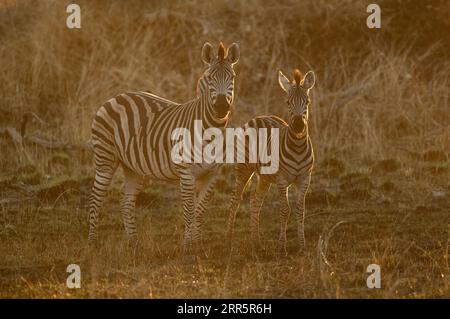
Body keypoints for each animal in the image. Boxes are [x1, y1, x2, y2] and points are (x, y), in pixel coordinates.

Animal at [89, 43, 241, 252]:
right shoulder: (186, 173)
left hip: (133, 167)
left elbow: (200, 210)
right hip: (105, 159)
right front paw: (188, 247)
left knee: (126, 202)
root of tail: (115, 97)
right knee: (95, 198)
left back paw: (134, 243)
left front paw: (198, 243)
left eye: (232, 77)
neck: (210, 131)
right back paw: (93, 242)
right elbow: (190, 210)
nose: (220, 107)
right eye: (210, 77)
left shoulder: (211, 174)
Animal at [227, 69, 314, 254]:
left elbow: (300, 210)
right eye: (288, 102)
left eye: (307, 101)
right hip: (243, 169)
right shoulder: (282, 179)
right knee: (235, 200)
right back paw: (228, 240)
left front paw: (302, 246)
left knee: (255, 201)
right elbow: (284, 210)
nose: (298, 126)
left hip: (264, 177)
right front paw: (282, 247)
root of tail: (258, 117)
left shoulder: (305, 178)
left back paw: (256, 242)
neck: (298, 148)